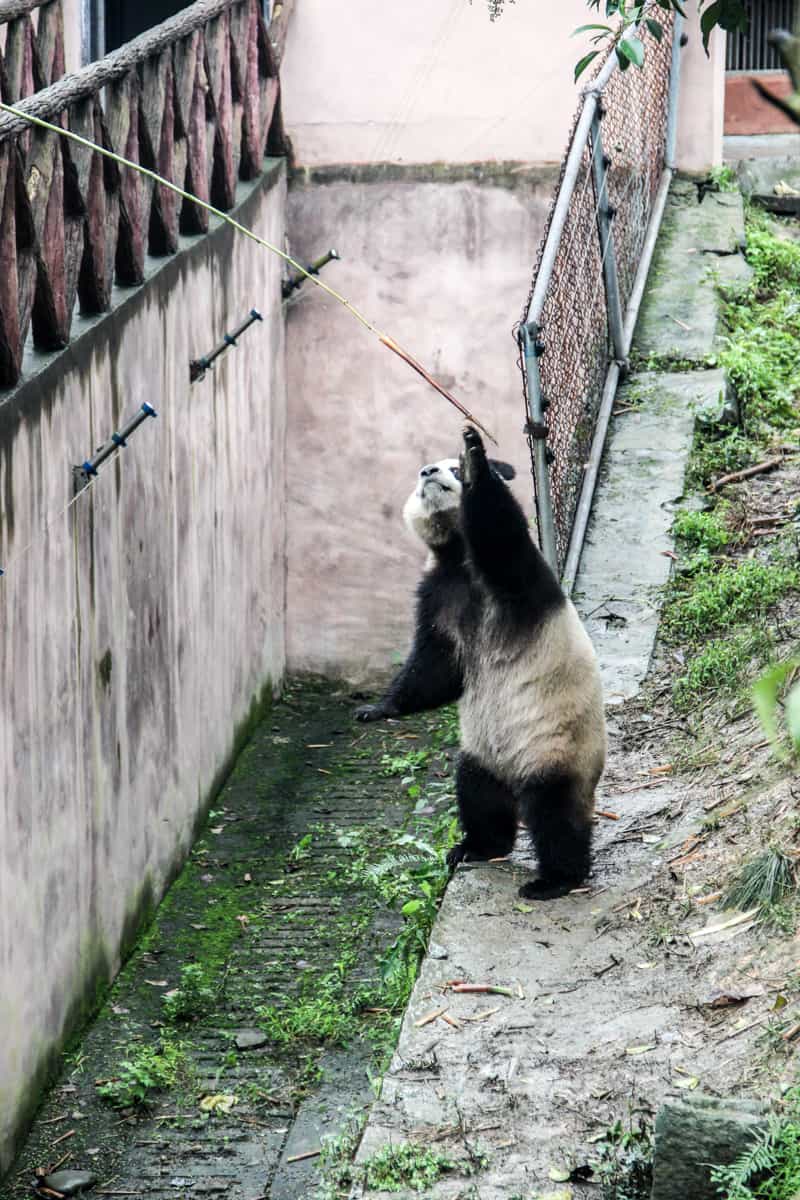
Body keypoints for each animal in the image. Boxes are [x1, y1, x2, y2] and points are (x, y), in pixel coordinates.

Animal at [357, 427, 606, 897]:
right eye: (421, 473)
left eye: (450, 469)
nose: (427, 471)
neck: (459, 554)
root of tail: (514, 776)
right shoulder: (440, 595)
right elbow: (436, 668)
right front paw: (379, 708)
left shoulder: (515, 579)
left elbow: (499, 528)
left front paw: (476, 458)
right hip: (483, 751)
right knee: (478, 794)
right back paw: (478, 847)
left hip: (556, 748)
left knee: (555, 813)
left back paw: (556, 879)